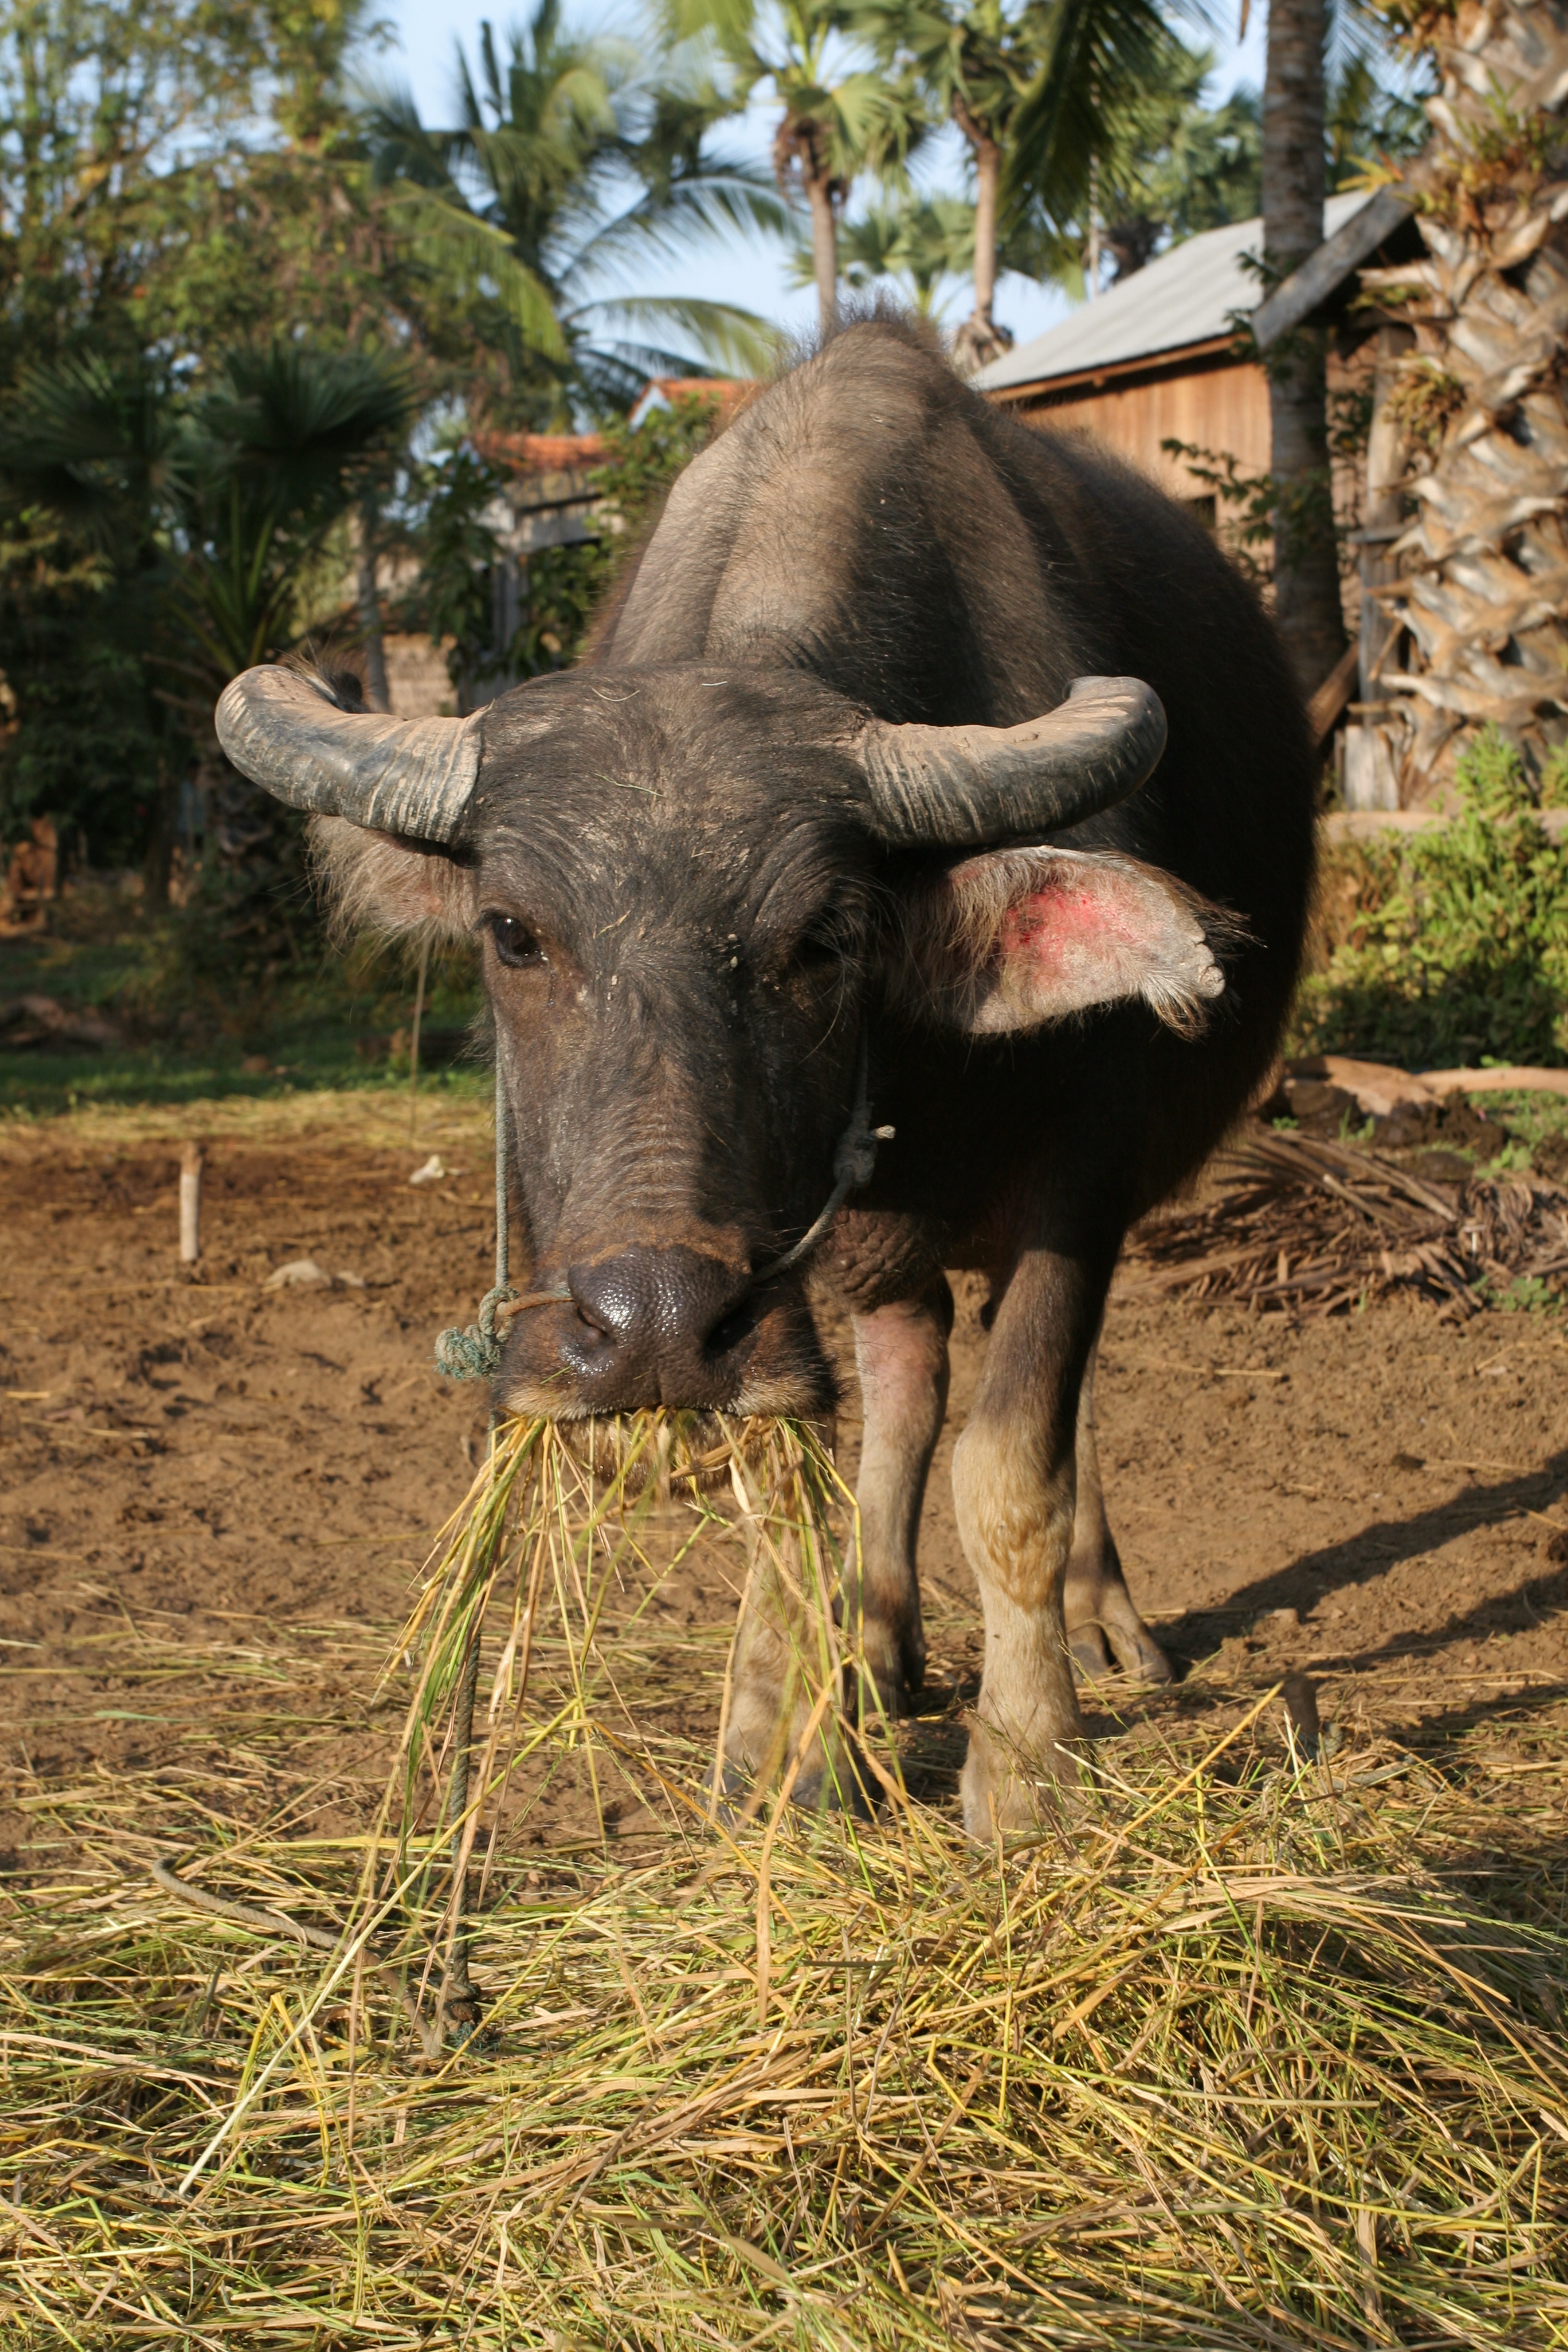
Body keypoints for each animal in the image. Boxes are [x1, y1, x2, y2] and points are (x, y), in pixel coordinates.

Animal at [217, 317, 1315, 1833]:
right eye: (511, 932)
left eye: (824, 938)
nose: (655, 1327)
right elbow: (796, 1462)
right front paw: (773, 1742)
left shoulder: (1081, 1182)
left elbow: (1012, 1464)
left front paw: (1028, 1763)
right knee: (902, 1384)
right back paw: (873, 1649)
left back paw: (1100, 1628)